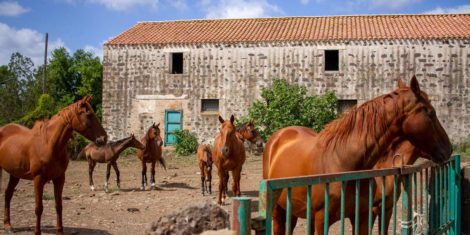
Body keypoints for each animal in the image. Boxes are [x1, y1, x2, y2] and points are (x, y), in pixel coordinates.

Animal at [0, 96, 106, 235]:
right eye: (89, 115)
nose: (104, 138)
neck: (49, 144)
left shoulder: (59, 178)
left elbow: (58, 206)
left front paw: (60, 231)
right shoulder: (38, 179)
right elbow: (38, 208)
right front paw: (37, 232)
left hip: (15, 174)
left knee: (8, 194)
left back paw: (8, 225)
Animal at [264, 76, 452, 234]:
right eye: (430, 112)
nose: (449, 149)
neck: (342, 163)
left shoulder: (364, 215)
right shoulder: (322, 220)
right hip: (279, 211)